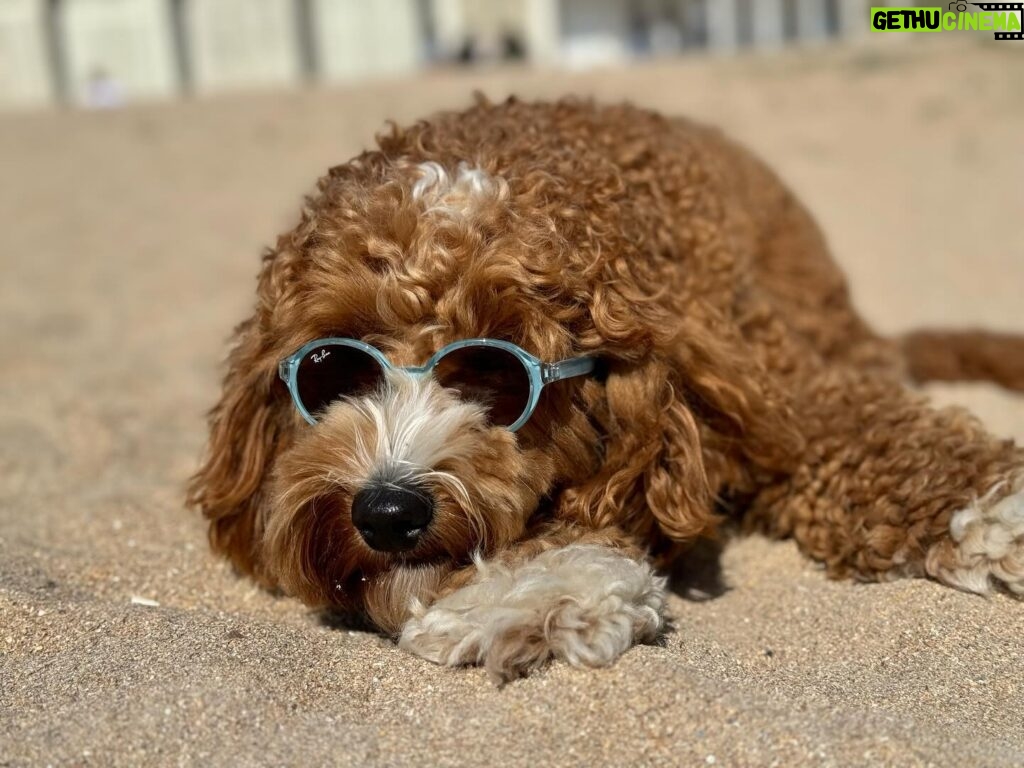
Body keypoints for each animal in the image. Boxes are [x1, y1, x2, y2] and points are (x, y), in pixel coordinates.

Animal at [186, 99, 1024, 684]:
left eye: (498, 370)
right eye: (332, 366)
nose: (387, 511)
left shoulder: (772, 388)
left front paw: (998, 513)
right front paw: (532, 593)